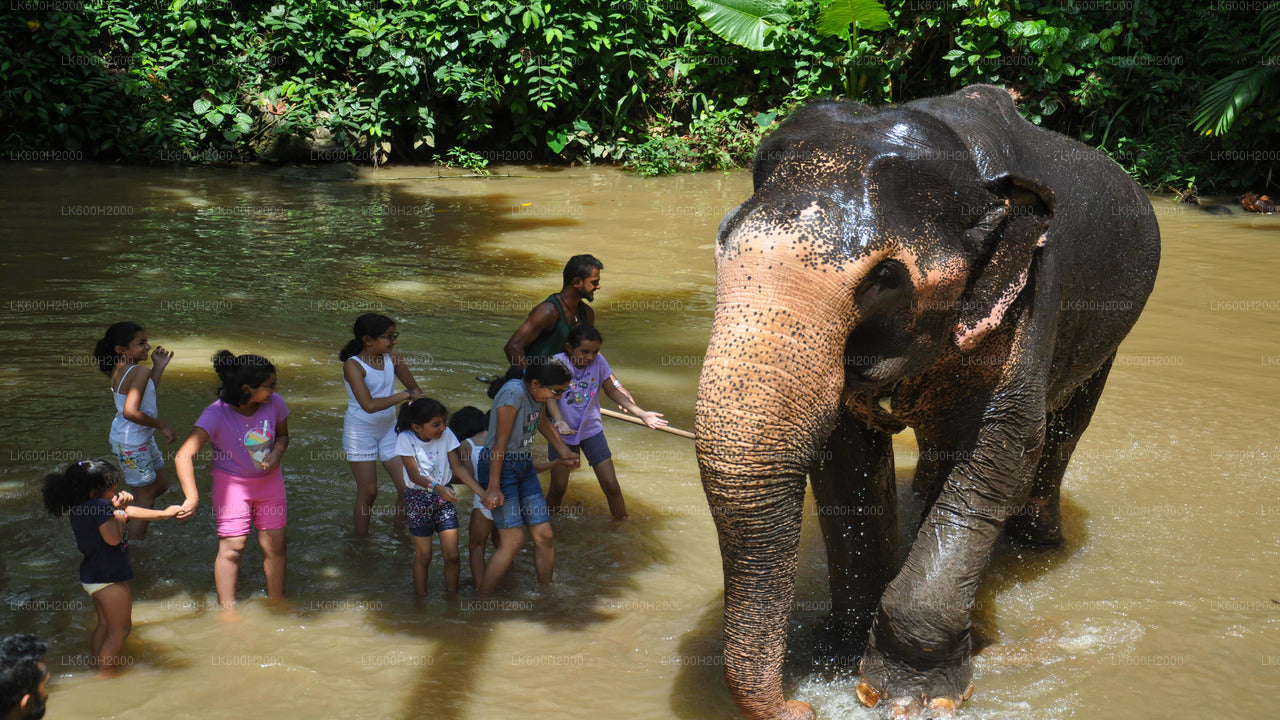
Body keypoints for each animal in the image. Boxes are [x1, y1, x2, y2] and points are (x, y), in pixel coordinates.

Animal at [694, 84, 1160, 719]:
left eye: (886, 277)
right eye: (722, 241)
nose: (800, 707)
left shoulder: (1035, 294)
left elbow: (1003, 451)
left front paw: (905, 696)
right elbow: (847, 460)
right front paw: (842, 655)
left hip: (1109, 331)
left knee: (1064, 428)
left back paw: (1035, 540)